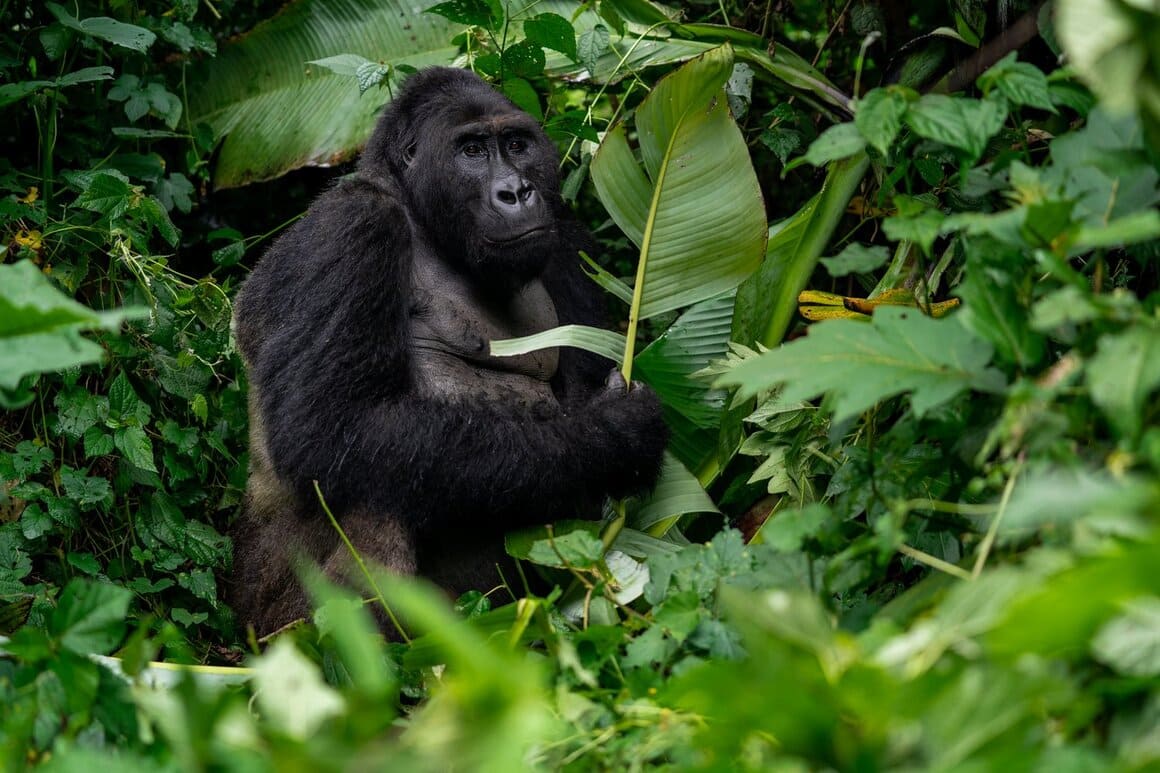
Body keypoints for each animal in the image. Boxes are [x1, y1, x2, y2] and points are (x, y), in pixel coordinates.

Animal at [230, 66, 668, 631]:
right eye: (472, 150)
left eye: (518, 145)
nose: (516, 191)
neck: (426, 220)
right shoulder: (352, 227)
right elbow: (329, 429)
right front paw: (619, 434)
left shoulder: (565, 239)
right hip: (262, 613)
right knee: (372, 487)